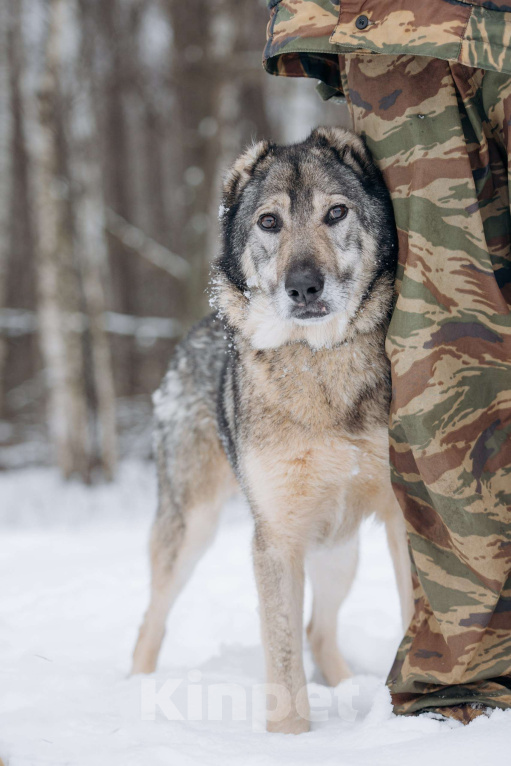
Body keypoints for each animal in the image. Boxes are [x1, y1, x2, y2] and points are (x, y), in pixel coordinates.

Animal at [133, 129, 416, 736]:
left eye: (336, 213)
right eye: (269, 222)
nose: (303, 286)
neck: (321, 366)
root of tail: (194, 331)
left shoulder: (405, 519)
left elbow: (411, 616)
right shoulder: (277, 538)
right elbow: (283, 663)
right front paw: (291, 742)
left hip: (339, 548)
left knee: (319, 630)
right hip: (193, 529)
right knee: (152, 619)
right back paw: (135, 689)